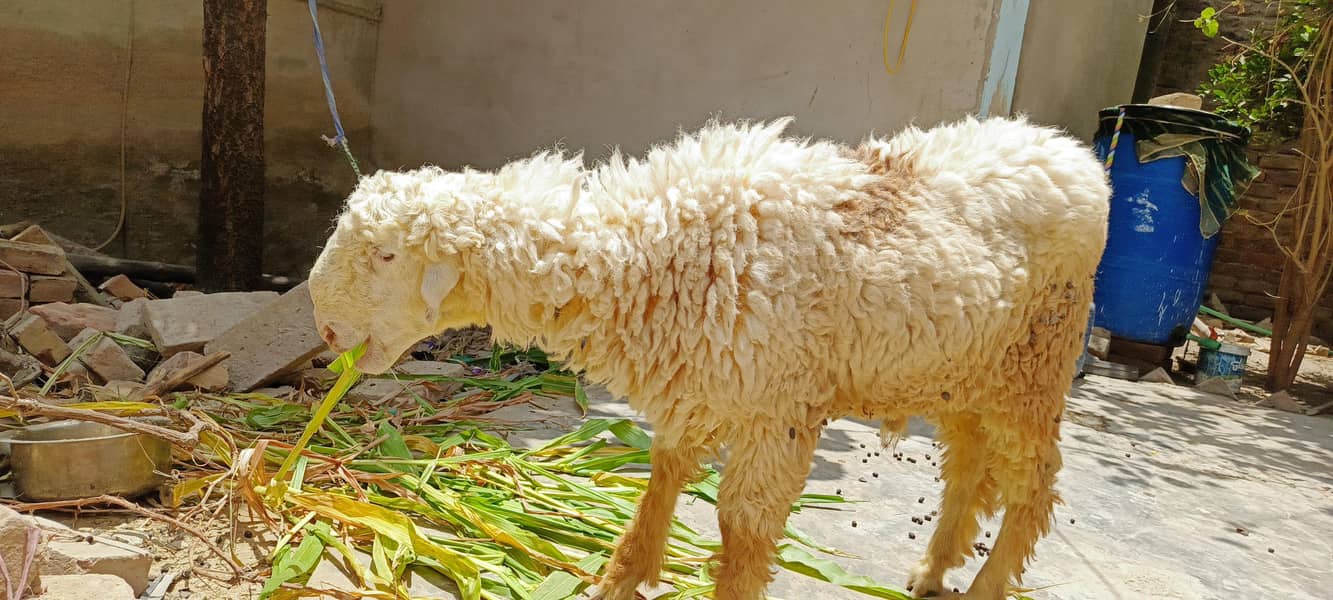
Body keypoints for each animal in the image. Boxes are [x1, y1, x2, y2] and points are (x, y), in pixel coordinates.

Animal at [307, 115, 1111, 600]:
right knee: (970, 466)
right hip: (964, 370)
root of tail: (1072, 154)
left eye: (386, 255)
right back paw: (934, 565)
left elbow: (742, 528)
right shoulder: (698, 381)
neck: (650, 244)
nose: (323, 330)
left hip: (1036, 363)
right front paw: (621, 576)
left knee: (1034, 486)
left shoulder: (774, 407)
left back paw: (985, 581)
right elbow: (662, 478)